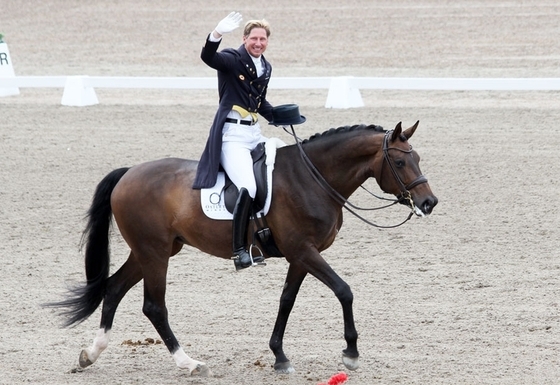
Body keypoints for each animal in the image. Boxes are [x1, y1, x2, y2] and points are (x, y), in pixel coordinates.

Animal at [50, 121, 438, 376]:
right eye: (400, 162)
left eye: (418, 158)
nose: (429, 202)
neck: (312, 178)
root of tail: (129, 173)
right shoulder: (304, 251)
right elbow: (344, 291)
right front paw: (351, 352)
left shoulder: (301, 255)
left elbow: (286, 300)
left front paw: (279, 356)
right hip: (155, 253)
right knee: (153, 307)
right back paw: (188, 363)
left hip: (152, 251)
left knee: (114, 289)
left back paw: (90, 355)